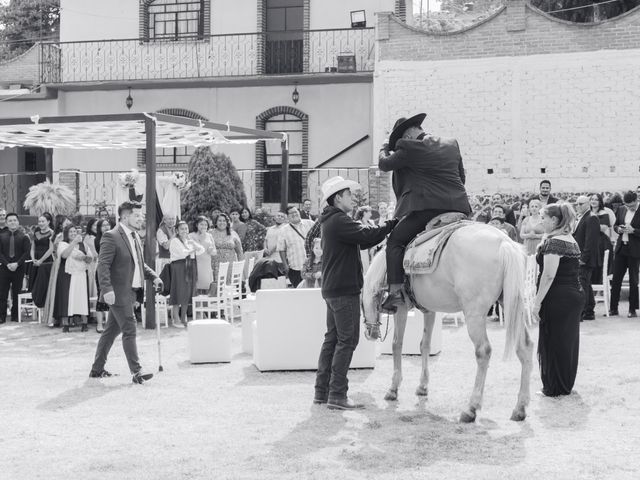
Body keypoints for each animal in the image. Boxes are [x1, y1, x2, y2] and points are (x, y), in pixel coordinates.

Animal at [360, 223, 536, 422]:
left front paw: (393, 388)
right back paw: (520, 408)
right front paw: (422, 386)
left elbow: (397, 344)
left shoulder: (402, 308)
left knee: (483, 351)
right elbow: (424, 345)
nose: (370, 333)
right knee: (525, 346)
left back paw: (471, 408)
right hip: (512, 305)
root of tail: (504, 242)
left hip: (474, 314)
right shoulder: (429, 310)